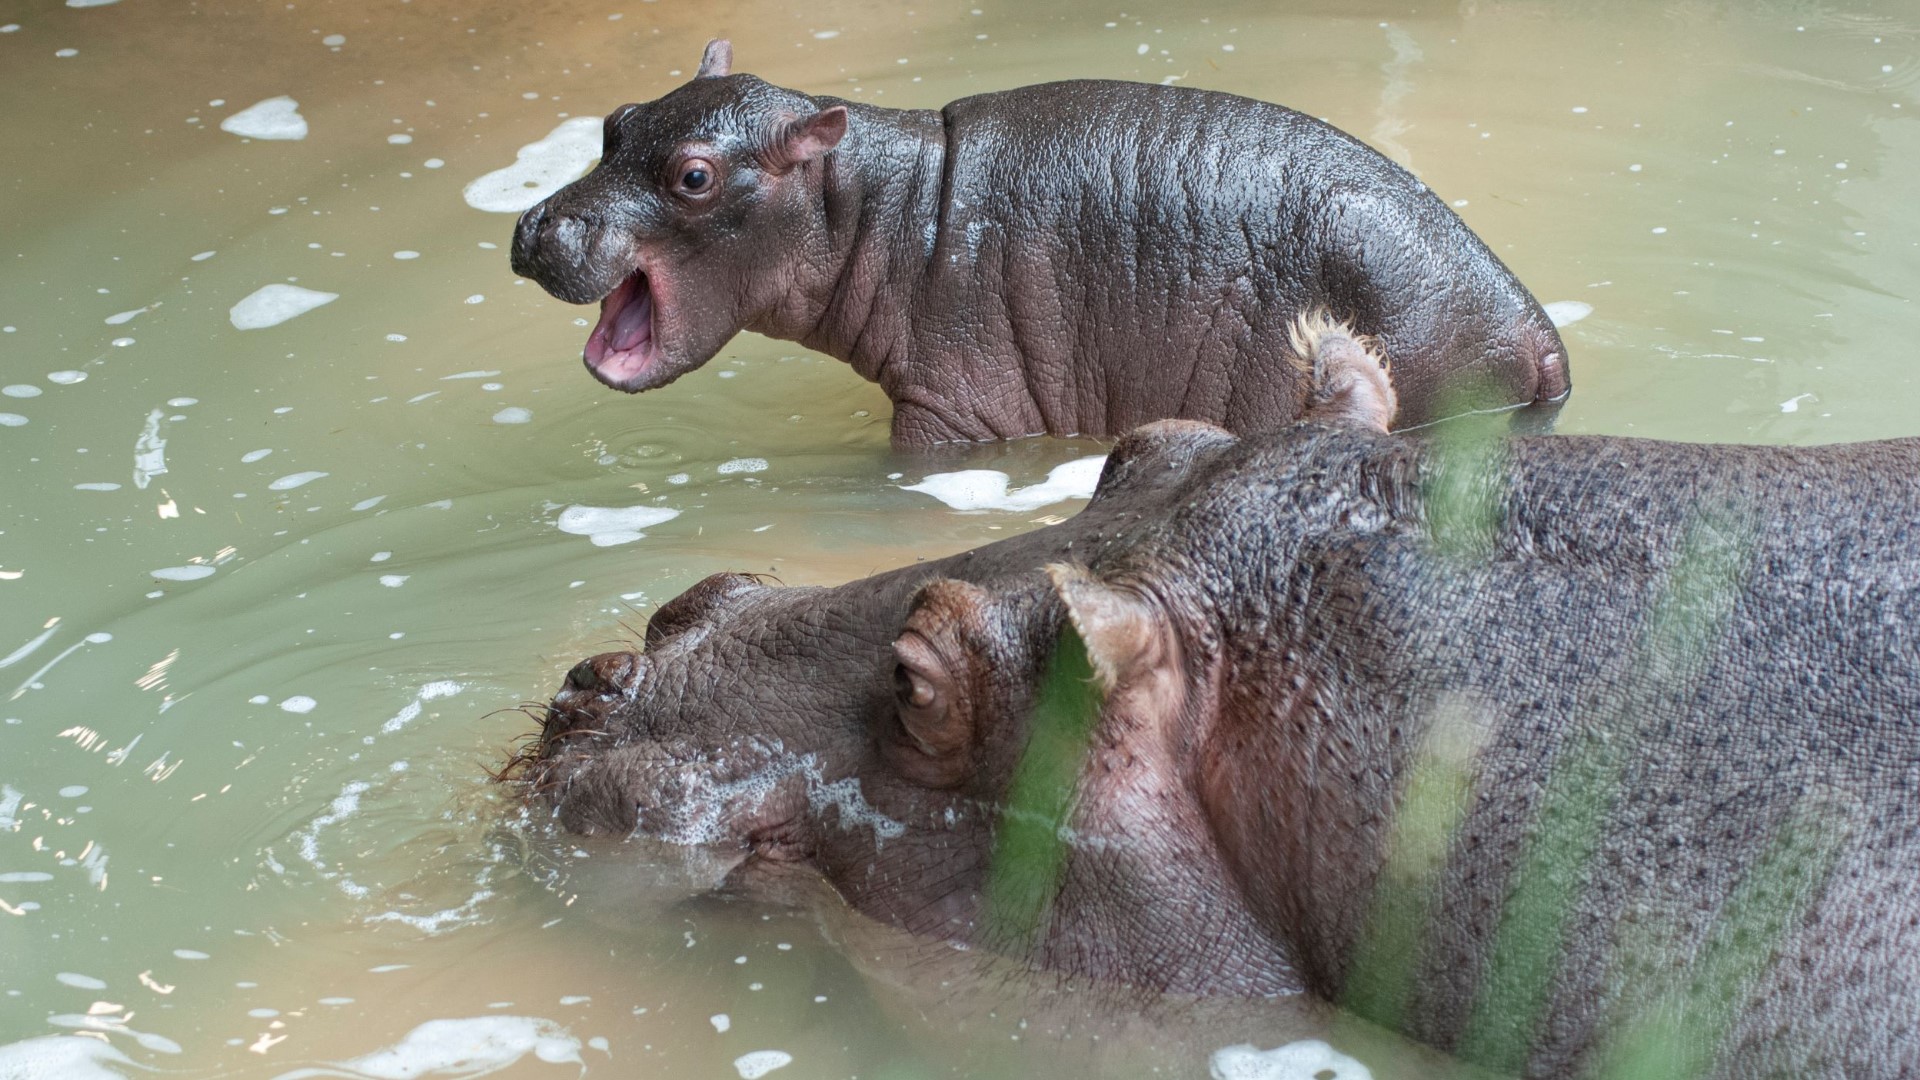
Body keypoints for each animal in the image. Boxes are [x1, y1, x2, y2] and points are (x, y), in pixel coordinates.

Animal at [510, 39, 1569, 446]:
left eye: (693, 176)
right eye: (615, 120)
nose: (533, 224)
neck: (881, 202)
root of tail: (1533, 322)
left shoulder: (951, 413)